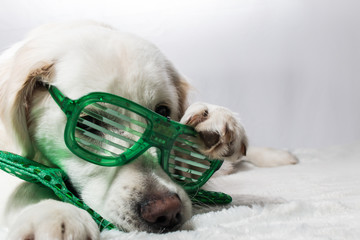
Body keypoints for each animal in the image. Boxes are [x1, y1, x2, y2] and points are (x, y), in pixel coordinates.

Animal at [0, 21, 298, 239]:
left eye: (163, 113)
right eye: (88, 124)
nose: (166, 212)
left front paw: (210, 120)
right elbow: (27, 180)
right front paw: (53, 212)